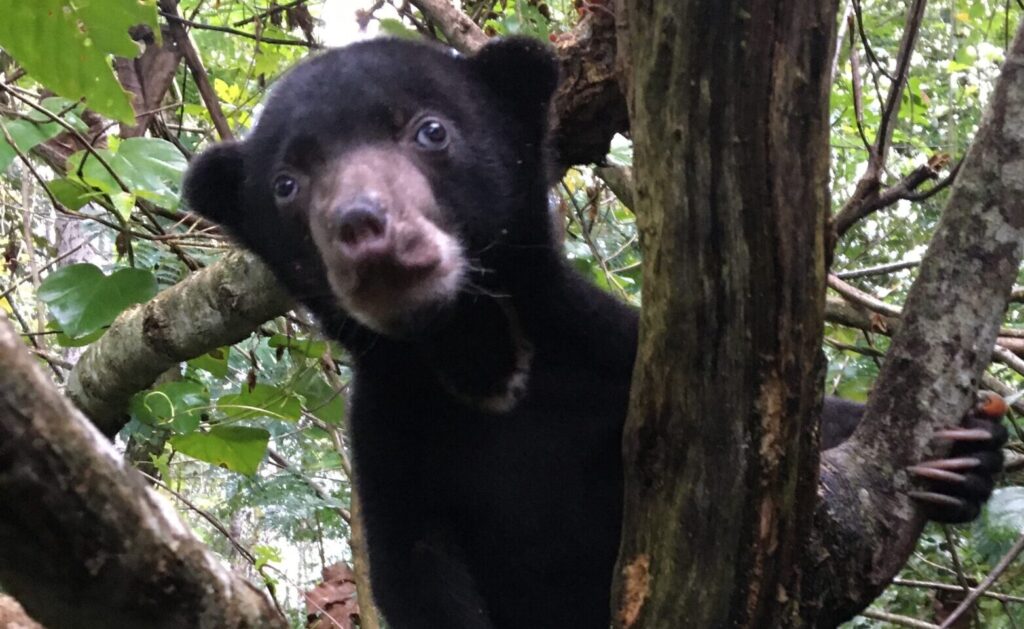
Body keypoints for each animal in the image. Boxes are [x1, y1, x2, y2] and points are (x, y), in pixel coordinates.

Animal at [184, 36, 1007, 626]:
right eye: (287, 183)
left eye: (429, 130)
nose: (361, 227)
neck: (478, 350)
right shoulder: (396, 445)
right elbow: (418, 572)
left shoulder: (611, 359)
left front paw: (966, 451)